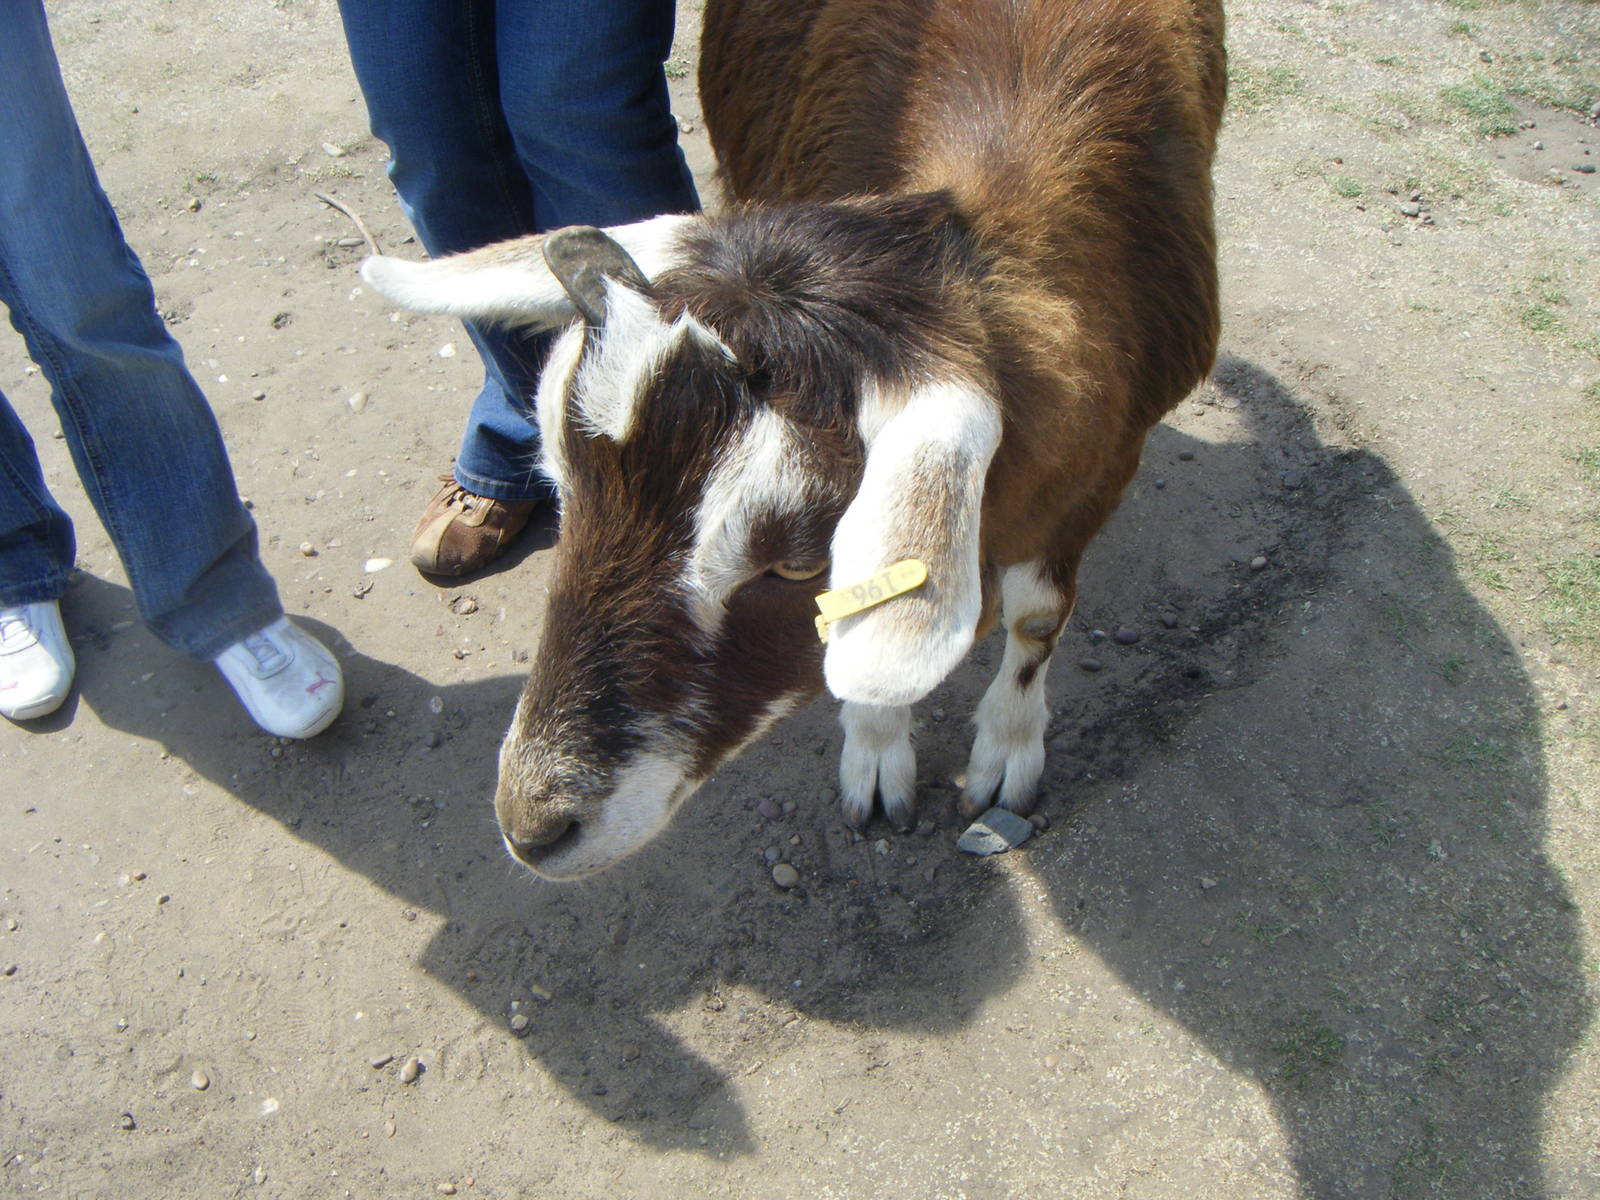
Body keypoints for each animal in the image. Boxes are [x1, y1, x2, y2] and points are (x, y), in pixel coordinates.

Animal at [360, 0, 1227, 879]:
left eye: (800, 566)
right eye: (565, 487)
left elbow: (1037, 618)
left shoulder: (1105, 458)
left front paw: (1006, 754)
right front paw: (877, 757)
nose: (535, 826)